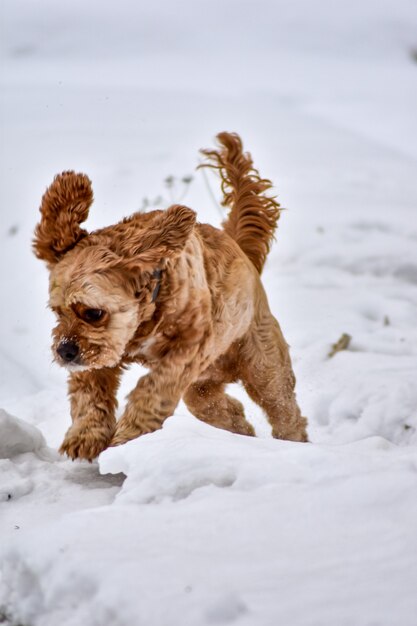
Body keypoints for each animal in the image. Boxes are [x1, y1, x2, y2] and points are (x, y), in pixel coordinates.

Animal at [32, 132, 308, 458]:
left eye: (94, 313)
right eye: (57, 312)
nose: (64, 351)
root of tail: (242, 249)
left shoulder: (185, 349)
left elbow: (153, 389)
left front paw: (129, 434)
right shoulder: (100, 356)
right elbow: (89, 392)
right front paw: (84, 437)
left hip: (263, 365)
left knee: (284, 410)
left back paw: (292, 444)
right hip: (201, 387)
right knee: (221, 407)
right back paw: (240, 430)